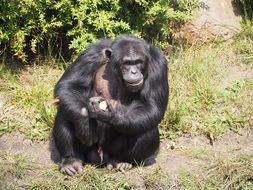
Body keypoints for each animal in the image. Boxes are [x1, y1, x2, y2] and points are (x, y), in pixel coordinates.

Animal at [52, 35, 169, 176]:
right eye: (127, 63)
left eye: (138, 61)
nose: (134, 72)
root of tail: (100, 158)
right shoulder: (90, 54)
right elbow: (70, 85)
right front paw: (85, 124)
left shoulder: (158, 64)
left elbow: (151, 105)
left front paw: (109, 115)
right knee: (64, 112)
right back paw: (71, 161)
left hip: (110, 151)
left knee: (147, 128)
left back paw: (121, 161)